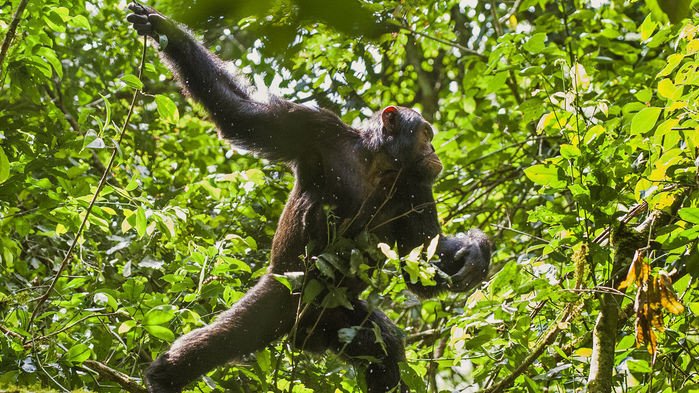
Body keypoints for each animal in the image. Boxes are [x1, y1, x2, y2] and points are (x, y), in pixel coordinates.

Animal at [126, 3, 492, 392]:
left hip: (339, 314)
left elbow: (419, 259)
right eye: (425, 134)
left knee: (383, 345)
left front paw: (476, 251)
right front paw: (166, 30)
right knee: (215, 342)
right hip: (279, 297)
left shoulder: (417, 186)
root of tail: (302, 334)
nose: (434, 149)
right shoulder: (313, 127)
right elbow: (242, 114)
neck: (377, 163)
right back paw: (163, 375)